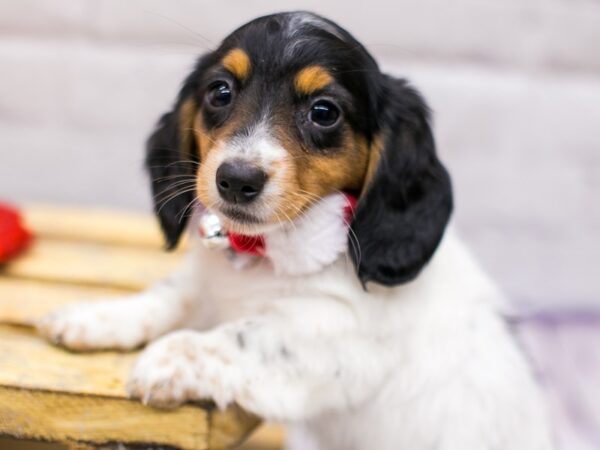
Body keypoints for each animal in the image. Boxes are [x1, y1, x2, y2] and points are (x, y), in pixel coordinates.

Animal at [37, 11, 552, 450]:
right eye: (220, 92)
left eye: (324, 112)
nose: (236, 179)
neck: (263, 256)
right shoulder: (209, 284)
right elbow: (169, 294)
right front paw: (95, 317)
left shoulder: (337, 335)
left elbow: (244, 334)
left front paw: (169, 359)